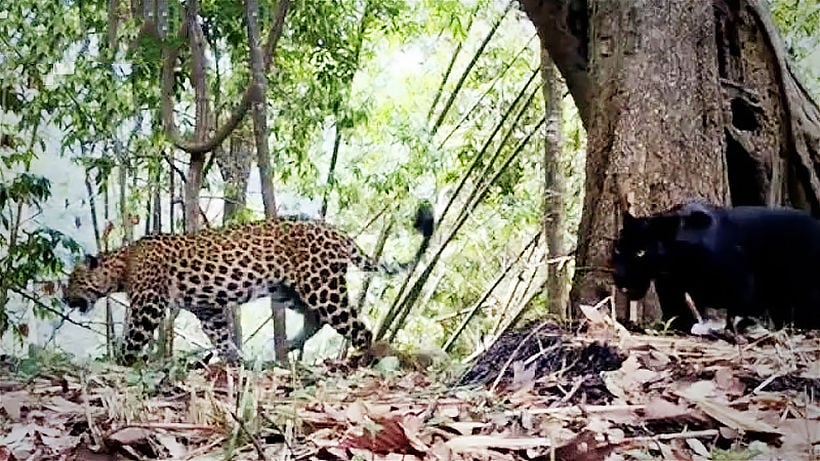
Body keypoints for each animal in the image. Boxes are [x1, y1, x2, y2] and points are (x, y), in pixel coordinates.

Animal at [61, 203, 436, 364]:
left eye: (73, 281)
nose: (64, 298)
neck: (123, 263)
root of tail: (338, 231)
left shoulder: (148, 305)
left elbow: (131, 339)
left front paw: (116, 365)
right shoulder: (207, 308)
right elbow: (221, 337)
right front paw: (236, 361)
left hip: (321, 285)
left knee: (357, 328)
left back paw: (363, 360)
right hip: (291, 290)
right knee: (316, 319)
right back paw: (288, 346)